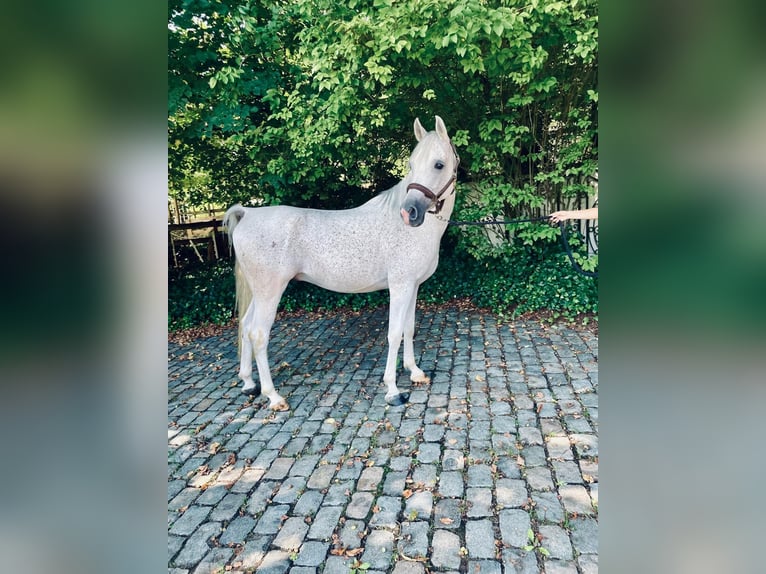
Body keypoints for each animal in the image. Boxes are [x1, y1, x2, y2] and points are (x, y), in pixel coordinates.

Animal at [225, 117, 460, 412]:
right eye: (411, 164)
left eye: (438, 164)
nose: (410, 213)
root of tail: (248, 213)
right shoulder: (400, 286)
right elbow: (394, 333)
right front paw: (393, 390)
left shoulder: (413, 286)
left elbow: (408, 328)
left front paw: (415, 372)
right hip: (270, 291)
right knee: (258, 334)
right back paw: (273, 396)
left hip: (259, 292)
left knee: (245, 327)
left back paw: (248, 384)